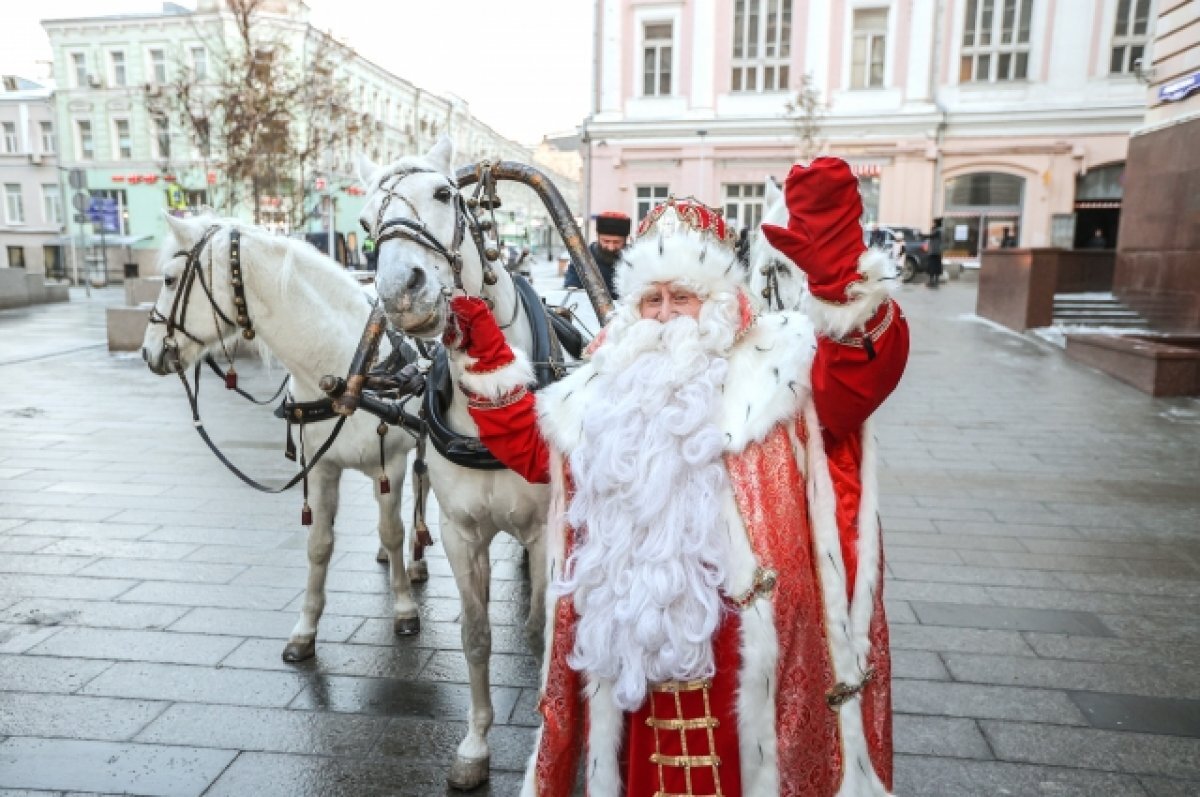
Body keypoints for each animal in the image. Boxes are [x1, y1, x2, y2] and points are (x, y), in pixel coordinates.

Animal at [139, 214, 427, 662]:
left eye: (169, 279)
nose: (148, 352)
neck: (348, 365)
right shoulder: (322, 466)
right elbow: (319, 545)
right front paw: (305, 630)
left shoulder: (390, 464)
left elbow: (392, 531)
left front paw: (404, 609)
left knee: (420, 491)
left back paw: (415, 561)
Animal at [357, 138, 549, 792]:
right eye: (361, 225)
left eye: (445, 193)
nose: (400, 291)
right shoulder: (461, 533)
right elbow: (475, 636)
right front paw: (475, 745)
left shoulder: (552, 530)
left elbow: (545, 630)